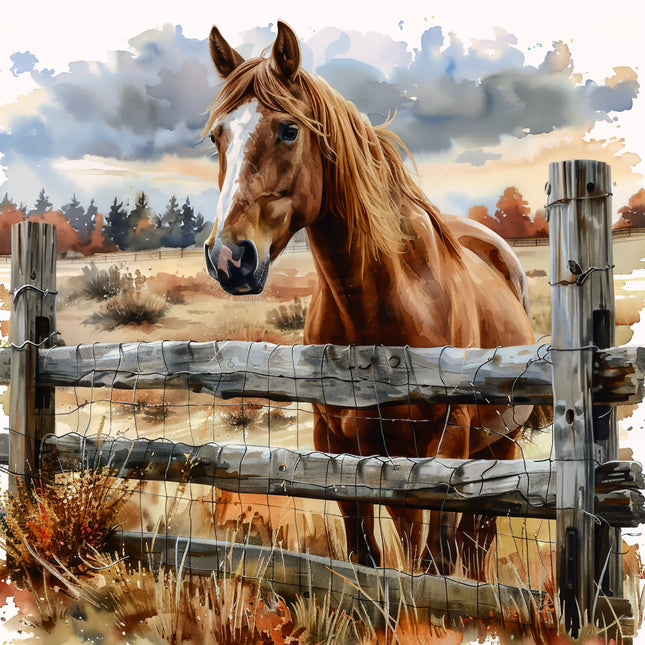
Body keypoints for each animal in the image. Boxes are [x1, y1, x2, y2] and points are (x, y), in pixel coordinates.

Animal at [202, 21, 537, 579]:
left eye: (288, 130)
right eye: (217, 136)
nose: (230, 257)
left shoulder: (447, 445)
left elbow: (436, 560)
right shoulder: (338, 446)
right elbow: (367, 553)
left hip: (499, 446)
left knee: (475, 541)